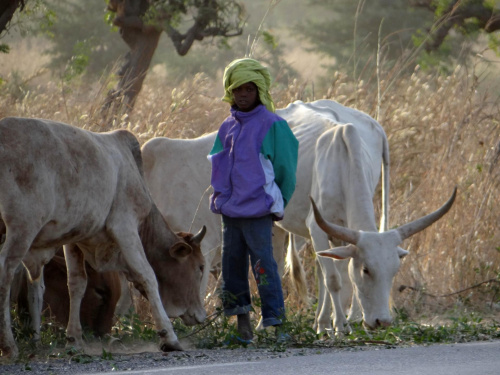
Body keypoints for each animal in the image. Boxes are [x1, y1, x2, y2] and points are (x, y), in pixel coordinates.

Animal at [0, 117, 207, 358]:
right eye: (200, 267)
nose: (201, 315)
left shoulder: (76, 239)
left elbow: (77, 283)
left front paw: (74, 339)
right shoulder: (125, 227)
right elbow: (148, 275)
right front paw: (169, 337)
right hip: (22, 227)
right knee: (5, 271)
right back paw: (9, 345)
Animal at [142, 100, 458, 334]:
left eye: (394, 271)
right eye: (366, 270)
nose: (382, 321)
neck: (342, 160)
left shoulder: (339, 234)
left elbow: (337, 276)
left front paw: (343, 320)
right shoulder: (318, 228)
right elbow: (334, 280)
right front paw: (340, 326)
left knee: (319, 270)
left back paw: (324, 321)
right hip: (287, 227)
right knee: (295, 269)